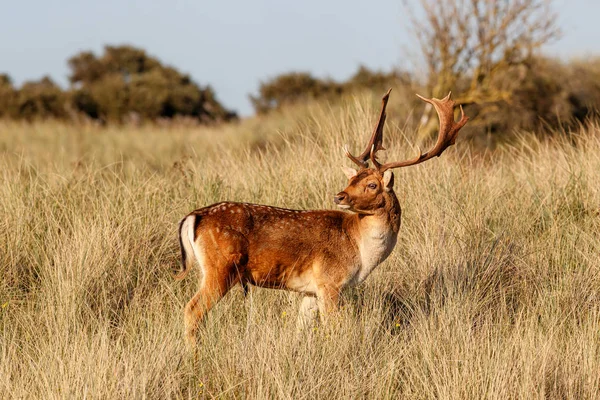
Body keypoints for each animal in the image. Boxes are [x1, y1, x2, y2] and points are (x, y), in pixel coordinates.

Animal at [178, 90, 468, 344]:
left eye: (371, 184)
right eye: (351, 179)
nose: (340, 196)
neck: (360, 251)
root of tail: (193, 218)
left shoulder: (310, 290)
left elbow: (300, 330)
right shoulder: (330, 281)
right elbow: (334, 329)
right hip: (222, 267)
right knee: (192, 310)